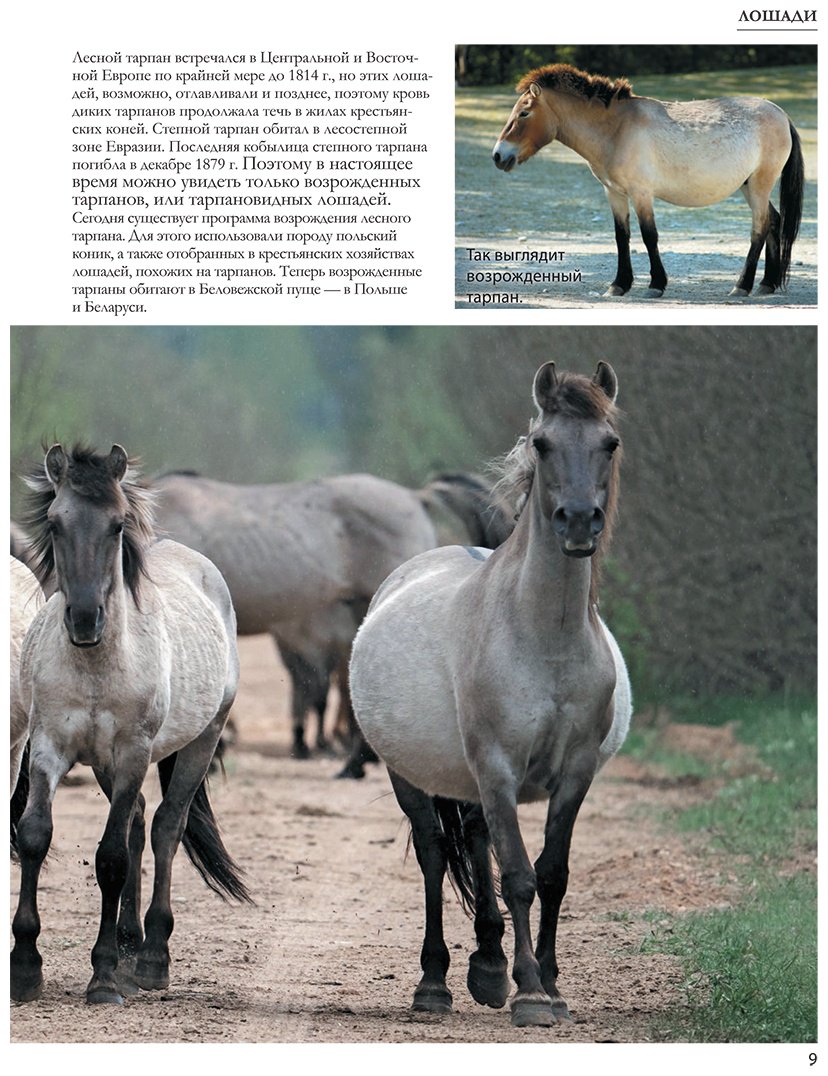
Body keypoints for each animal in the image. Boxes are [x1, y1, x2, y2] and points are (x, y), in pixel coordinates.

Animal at [11, 445, 251, 1006]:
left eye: (117, 525)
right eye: (54, 522)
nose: (84, 620)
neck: (96, 666)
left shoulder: (131, 754)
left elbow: (112, 857)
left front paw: (101, 977)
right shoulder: (49, 749)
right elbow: (34, 836)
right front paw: (25, 968)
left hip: (200, 742)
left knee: (165, 827)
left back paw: (150, 957)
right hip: (105, 766)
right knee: (141, 819)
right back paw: (128, 944)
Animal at [349, 362, 632, 1028]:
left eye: (609, 442)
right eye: (543, 443)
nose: (578, 522)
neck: (545, 638)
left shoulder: (575, 771)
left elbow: (552, 875)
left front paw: (550, 985)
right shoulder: (499, 769)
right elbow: (519, 877)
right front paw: (530, 994)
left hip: (467, 780)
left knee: (476, 842)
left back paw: (487, 966)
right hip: (411, 775)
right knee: (434, 854)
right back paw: (435, 983)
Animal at [492, 63, 804, 298]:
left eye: (524, 112)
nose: (498, 156)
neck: (616, 129)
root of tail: (781, 114)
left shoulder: (641, 193)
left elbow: (648, 235)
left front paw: (656, 285)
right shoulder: (614, 193)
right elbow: (622, 236)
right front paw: (618, 285)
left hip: (760, 185)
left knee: (760, 228)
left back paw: (742, 286)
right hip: (749, 187)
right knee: (774, 222)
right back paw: (766, 284)